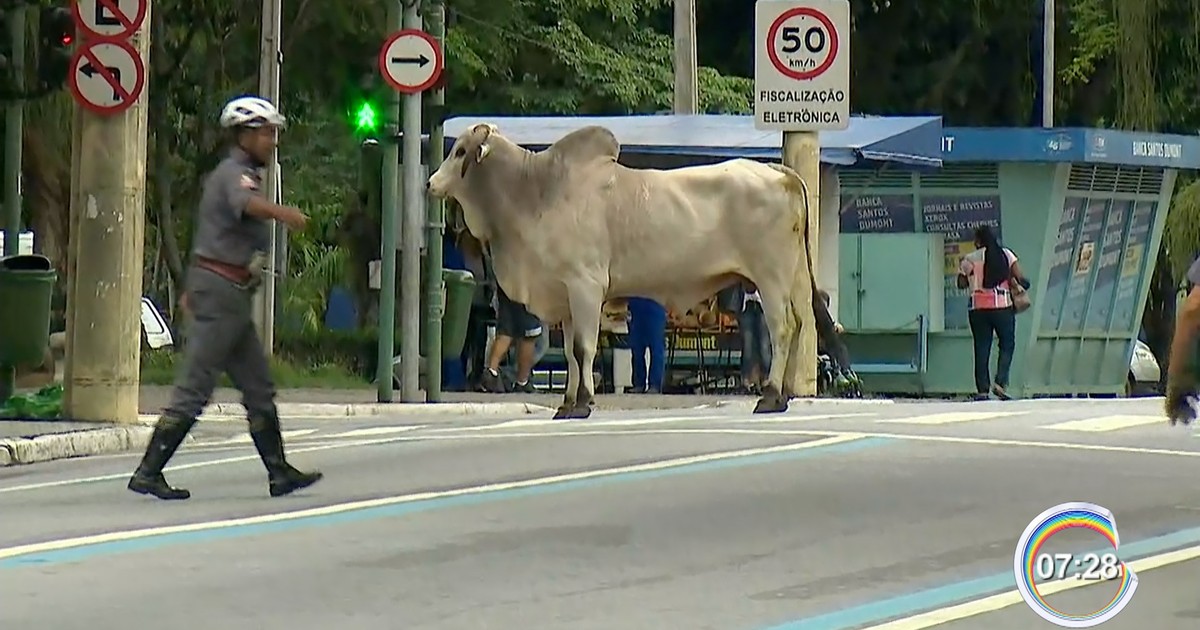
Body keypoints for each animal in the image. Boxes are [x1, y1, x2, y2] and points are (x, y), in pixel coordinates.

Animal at [429, 123, 835, 417]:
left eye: (461, 151)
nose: (431, 183)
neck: (535, 192)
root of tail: (780, 171)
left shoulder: (585, 285)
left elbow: (583, 349)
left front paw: (583, 404)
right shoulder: (567, 296)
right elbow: (574, 352)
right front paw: (567, 403)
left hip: (770, 277)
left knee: (782, 329)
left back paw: (769, 397)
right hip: (789, 277)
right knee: (801, 324)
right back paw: (783, 396)